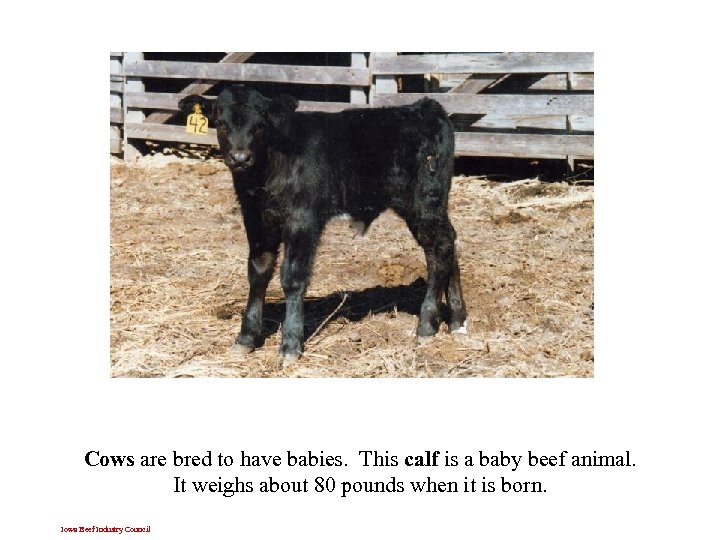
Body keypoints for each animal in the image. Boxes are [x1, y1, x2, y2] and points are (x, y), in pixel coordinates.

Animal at [179, 85, 467, 366]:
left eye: (260, 124)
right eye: (221, 123)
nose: (240, 158)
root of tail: (425, 106)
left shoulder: (303, 219)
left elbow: (292, 277)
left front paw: (290, 344)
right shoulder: (256, 220)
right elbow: (258, 272)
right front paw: (246, 338)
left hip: (423, 199)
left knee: (440, 247)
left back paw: (427, 326)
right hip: (432, 204)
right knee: (447, 243)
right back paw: (457, 320)